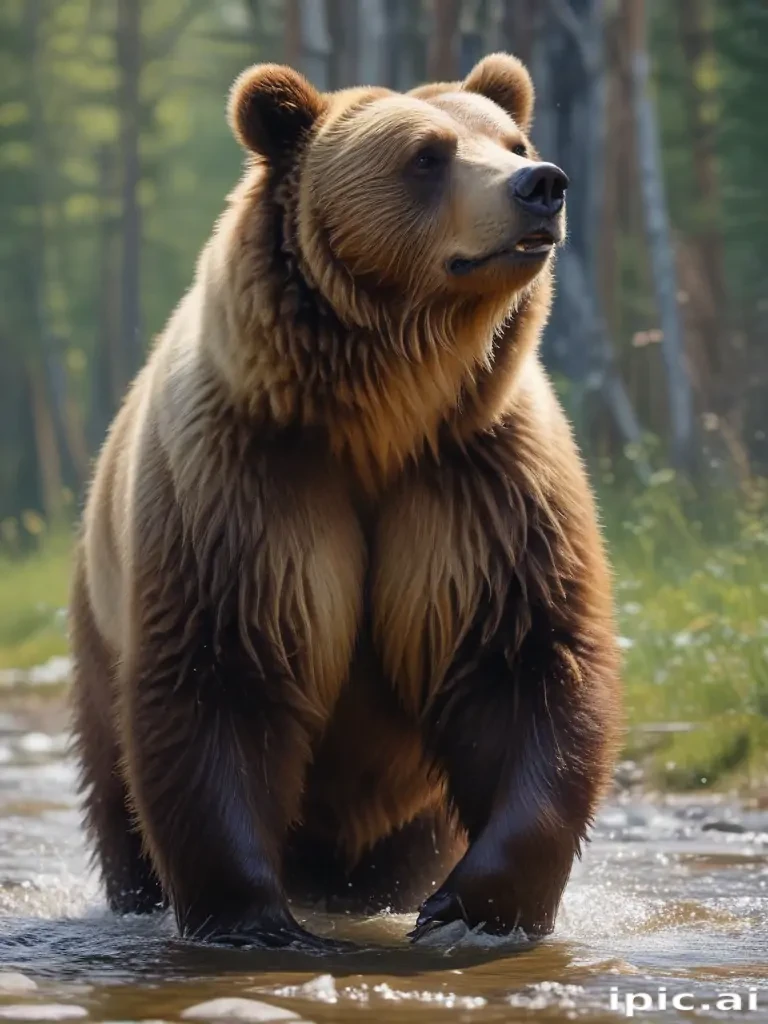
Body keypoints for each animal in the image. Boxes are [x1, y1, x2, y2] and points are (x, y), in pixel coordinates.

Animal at [69, 52, 621, 951]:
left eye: (512, 140)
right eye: (427, 155)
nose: (543, 184)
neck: (384, 409)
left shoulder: (480, 485)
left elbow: (522, 663)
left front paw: (469, 908)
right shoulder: (249, 485)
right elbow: (223, 673)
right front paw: (256, 919)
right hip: (100, 615)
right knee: (115, 777)